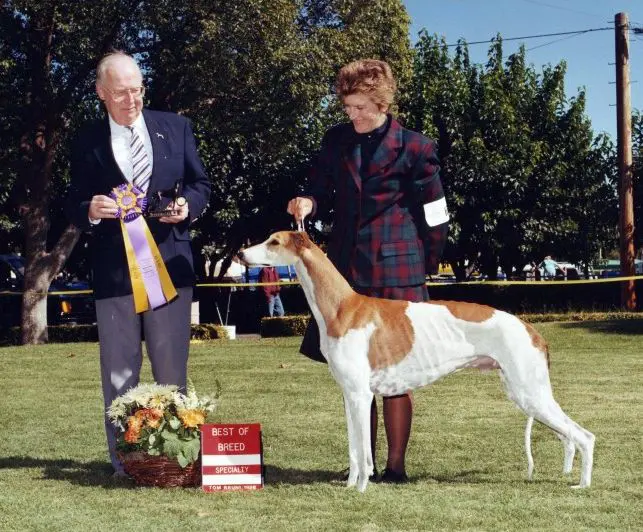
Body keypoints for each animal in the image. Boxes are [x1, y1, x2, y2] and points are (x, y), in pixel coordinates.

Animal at [239, 231, 596, 492]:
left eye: (274, 242)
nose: (240, 255)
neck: (343, 306)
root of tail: (532, 330)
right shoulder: (350, 395)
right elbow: (354, 449)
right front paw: (350, 484)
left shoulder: (360, 395)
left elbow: (364, 453)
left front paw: (362, 488)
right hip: (527, 393)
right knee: (569, 437)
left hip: (529, 392)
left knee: (584, 436)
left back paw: (582, 484)